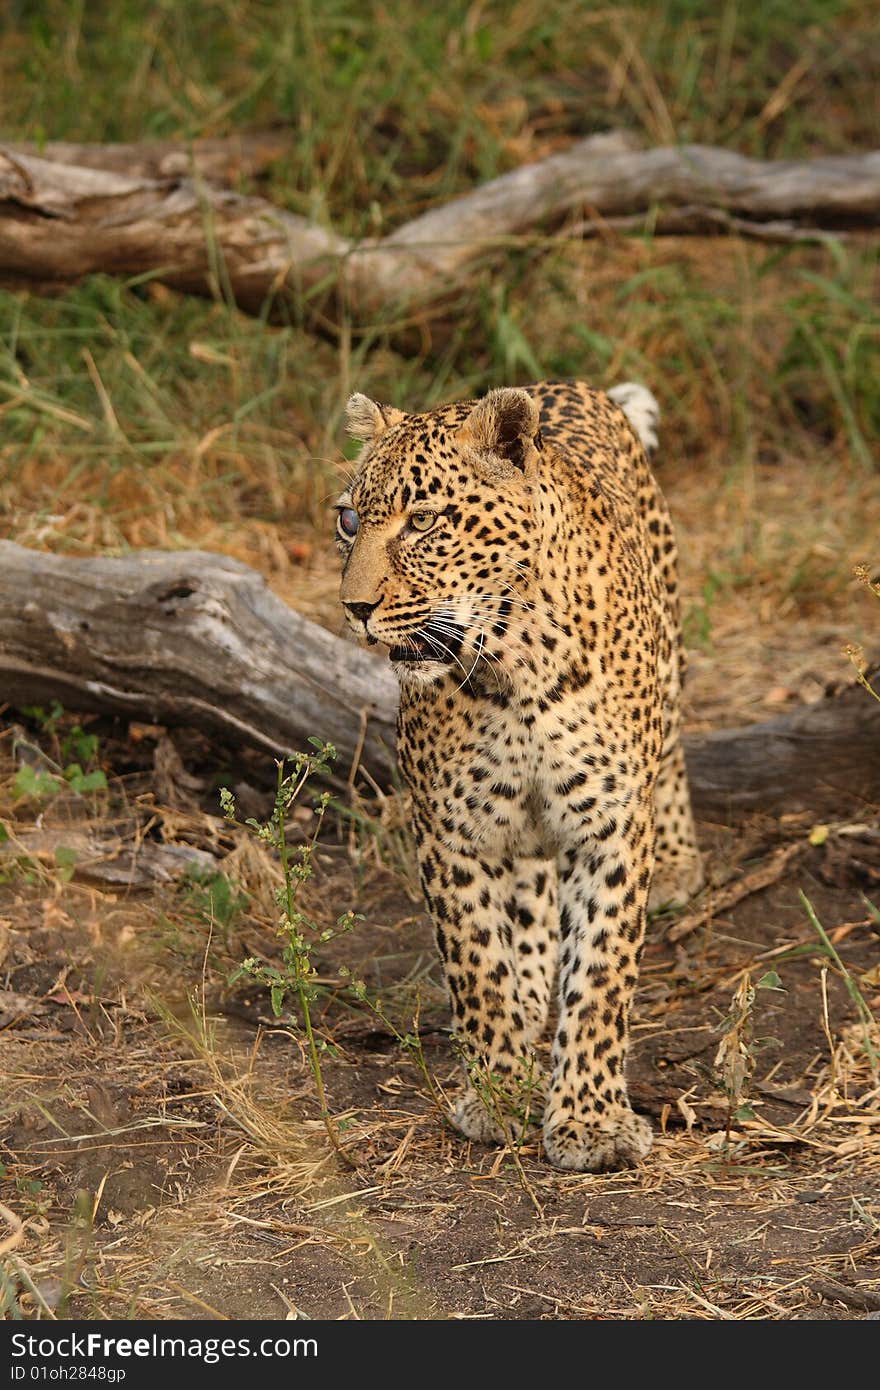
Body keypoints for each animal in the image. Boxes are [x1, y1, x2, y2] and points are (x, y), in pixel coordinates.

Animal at [335, 380, 700, 1173]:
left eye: (424, 520)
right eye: (348, 520)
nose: (355, 609)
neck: (516, 665)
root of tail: (573, 385)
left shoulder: (610, 826)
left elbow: (601, 976)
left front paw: (591, 1121)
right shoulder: (449, 827)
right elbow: (477, 964)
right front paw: (499, 1093)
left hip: (672, 652)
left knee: (675, 750)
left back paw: (681, 862)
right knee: (528, 885)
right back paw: (532, 988)